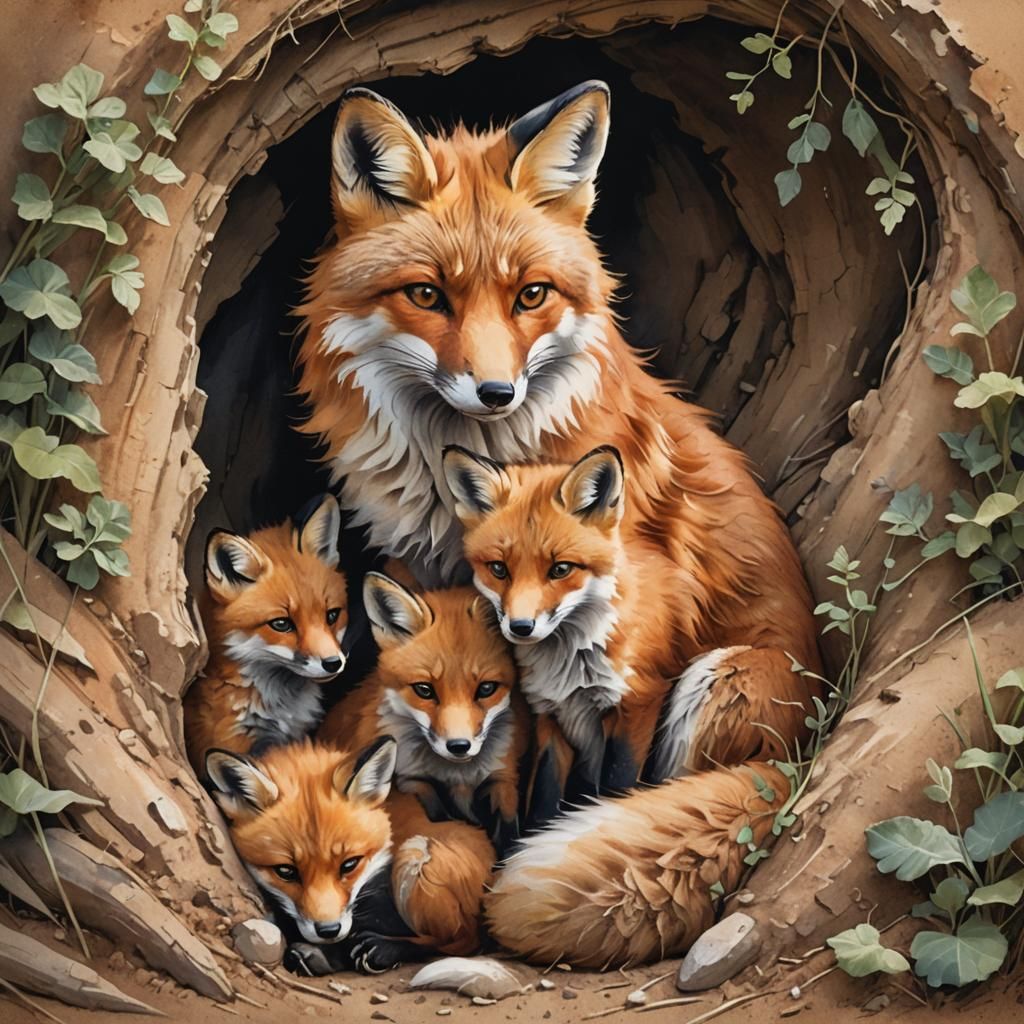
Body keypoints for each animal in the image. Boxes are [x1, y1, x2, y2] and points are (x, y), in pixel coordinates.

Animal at [443, 445, 817, 801]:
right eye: (498, 569)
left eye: (561, 569)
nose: (521, 627)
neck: (574, 658)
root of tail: (799, 751)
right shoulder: (552, 713)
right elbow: (543, 799)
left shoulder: (639, 702)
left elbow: (615, 785)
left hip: (713, 678)